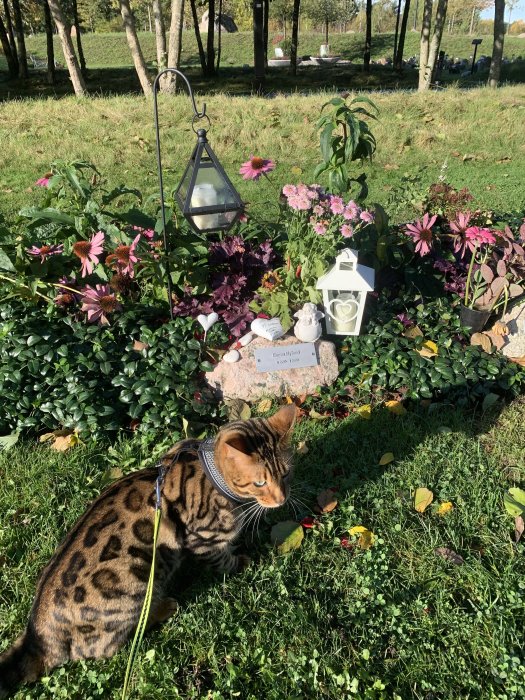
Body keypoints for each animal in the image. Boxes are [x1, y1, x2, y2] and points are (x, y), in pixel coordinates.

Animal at [0, 402, 294, 696]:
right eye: (259, 483)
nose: (282, 499)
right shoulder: (202, 538)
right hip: (136, 583)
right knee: (107, 646)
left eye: (285, 473)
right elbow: (222, 559)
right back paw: (163, 608)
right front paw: (241, 561)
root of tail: (38, 634)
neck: (214, 474)